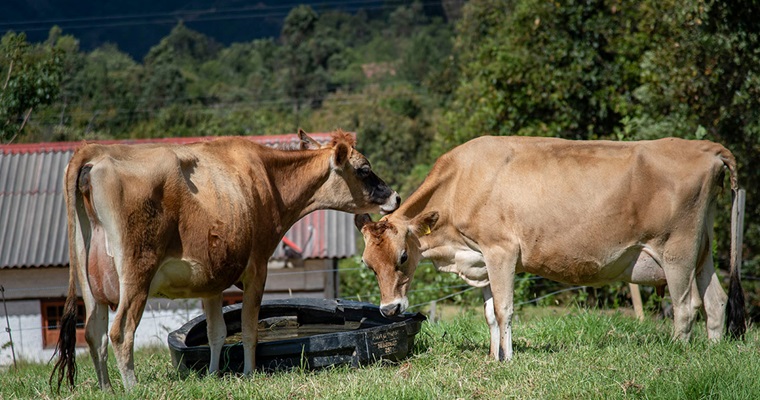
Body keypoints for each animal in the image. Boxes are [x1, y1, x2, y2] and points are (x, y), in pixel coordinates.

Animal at [51, 129, 400, 391]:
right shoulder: (257, 266)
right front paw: (248, 373)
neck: (269, 181)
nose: (395, 196)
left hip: (89, 281)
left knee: (93, 332)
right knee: (120, 331)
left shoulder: (211, 279)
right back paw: (133, 388)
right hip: (137, 271)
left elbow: (215, 332)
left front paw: (213, 375)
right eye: (364, 169)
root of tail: (95, 151)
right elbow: (247, 328)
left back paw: (107, 389)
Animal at [354, 135, 746, 362]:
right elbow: (489, 313)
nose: (389, 309)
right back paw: (712, 353)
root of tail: (705, 147)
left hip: (677, 250)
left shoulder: (501, 251)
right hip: (702, 249)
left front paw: (508, 361)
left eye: (403, 256)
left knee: (686, 306)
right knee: (715, 301)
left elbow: (504, 311)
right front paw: (492, 358)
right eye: (369, 265)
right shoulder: (480, 261)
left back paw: (679, 355)